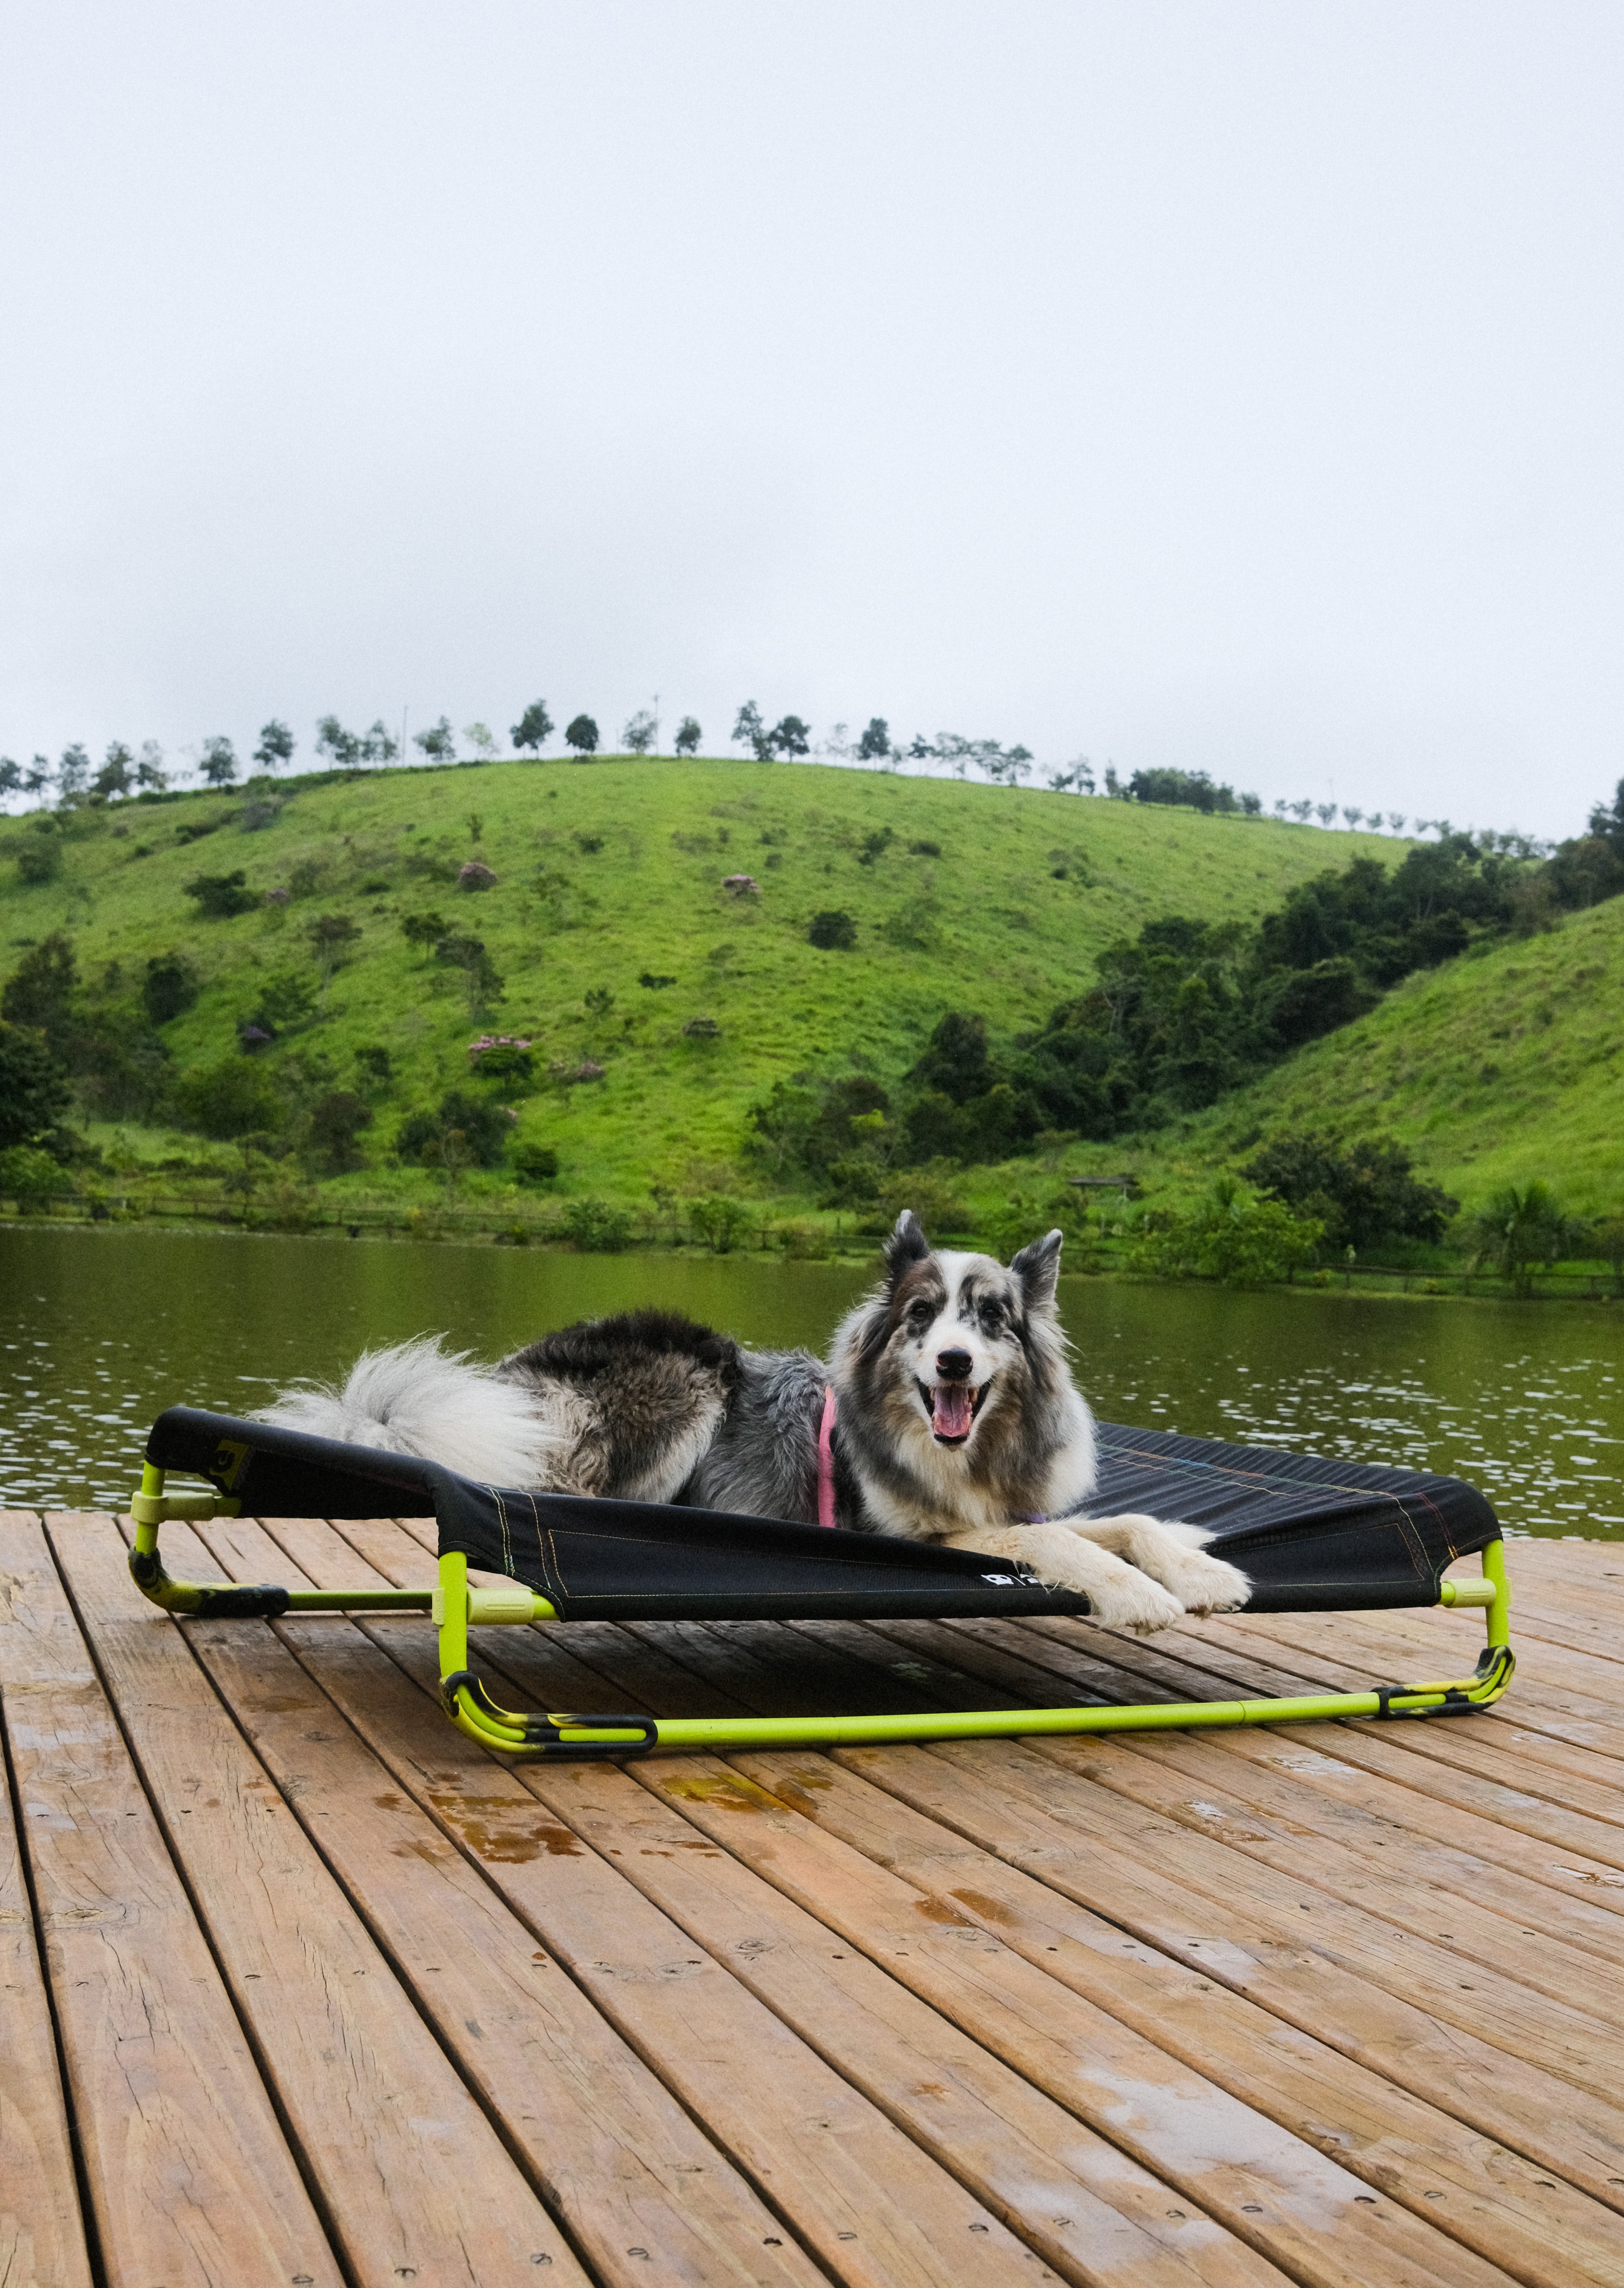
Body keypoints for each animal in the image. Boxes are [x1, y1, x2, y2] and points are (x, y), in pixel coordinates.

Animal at [260, 1208, 1253, 1638]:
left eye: (992, 1319)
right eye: (921, 1317)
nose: (952, 1365)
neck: (970, 1453)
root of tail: (507, 1378)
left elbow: (1119, 1522)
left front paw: (1198, 1564)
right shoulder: (915, 1534)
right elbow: (1058, 1543)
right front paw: (1136, 1593)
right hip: (690, 1375)